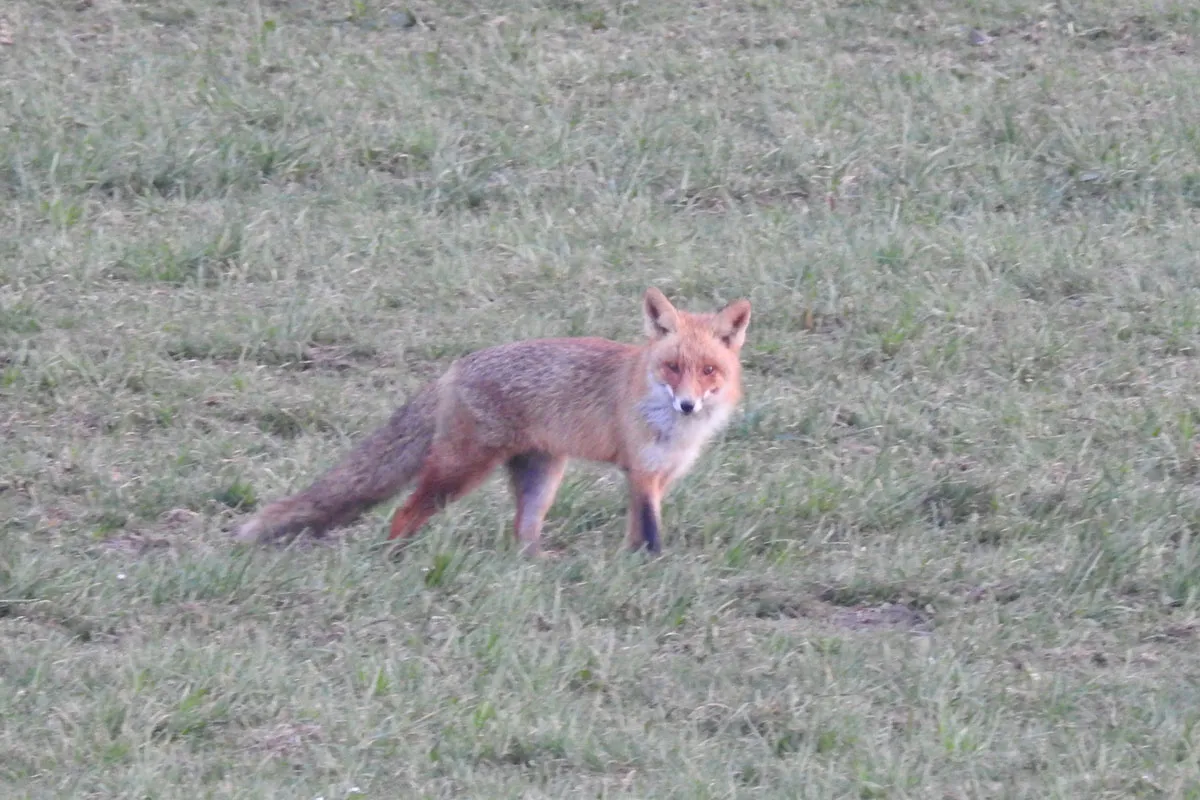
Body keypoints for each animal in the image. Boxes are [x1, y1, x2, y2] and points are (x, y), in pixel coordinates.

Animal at [234, 288, 751, 556]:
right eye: (672, 367)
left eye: (709, 370)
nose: (688, 405)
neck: (675, 430)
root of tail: (456, 367)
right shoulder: (640, 469)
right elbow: (650, 534)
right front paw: (652, 568)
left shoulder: (659, 476)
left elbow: (639, 531)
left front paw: (634, 567)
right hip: (461, 470)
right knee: (405, 513)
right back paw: (395, 559)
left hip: (542, 477)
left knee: (521, 534)